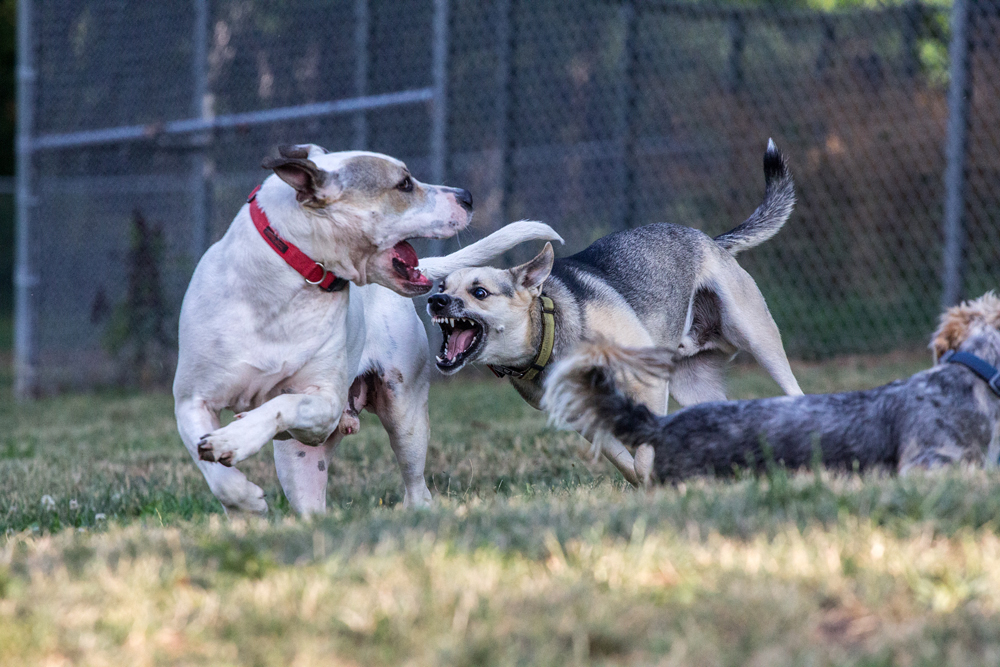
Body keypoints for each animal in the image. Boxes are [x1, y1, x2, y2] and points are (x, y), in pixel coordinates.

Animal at [175, 144, 560, 516]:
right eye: (404, 184)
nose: (466, 195)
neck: (281, 293)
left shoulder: (325, 403)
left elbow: (282, 401)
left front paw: (234, 440)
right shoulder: (191, 401)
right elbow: (211, 467)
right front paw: (241, 496)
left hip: (405, 418)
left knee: (417, 489)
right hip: (296, 462)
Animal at [430, 141, 804, 486]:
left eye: (480, 292)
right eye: (442, 285)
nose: (435, 301)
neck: (552, 330)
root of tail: (711, 240)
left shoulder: (648, 385)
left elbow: (644, 452)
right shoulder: (586, 417)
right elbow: (625, 462)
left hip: (757, 337)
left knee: (792, 389)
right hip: (692, 384)